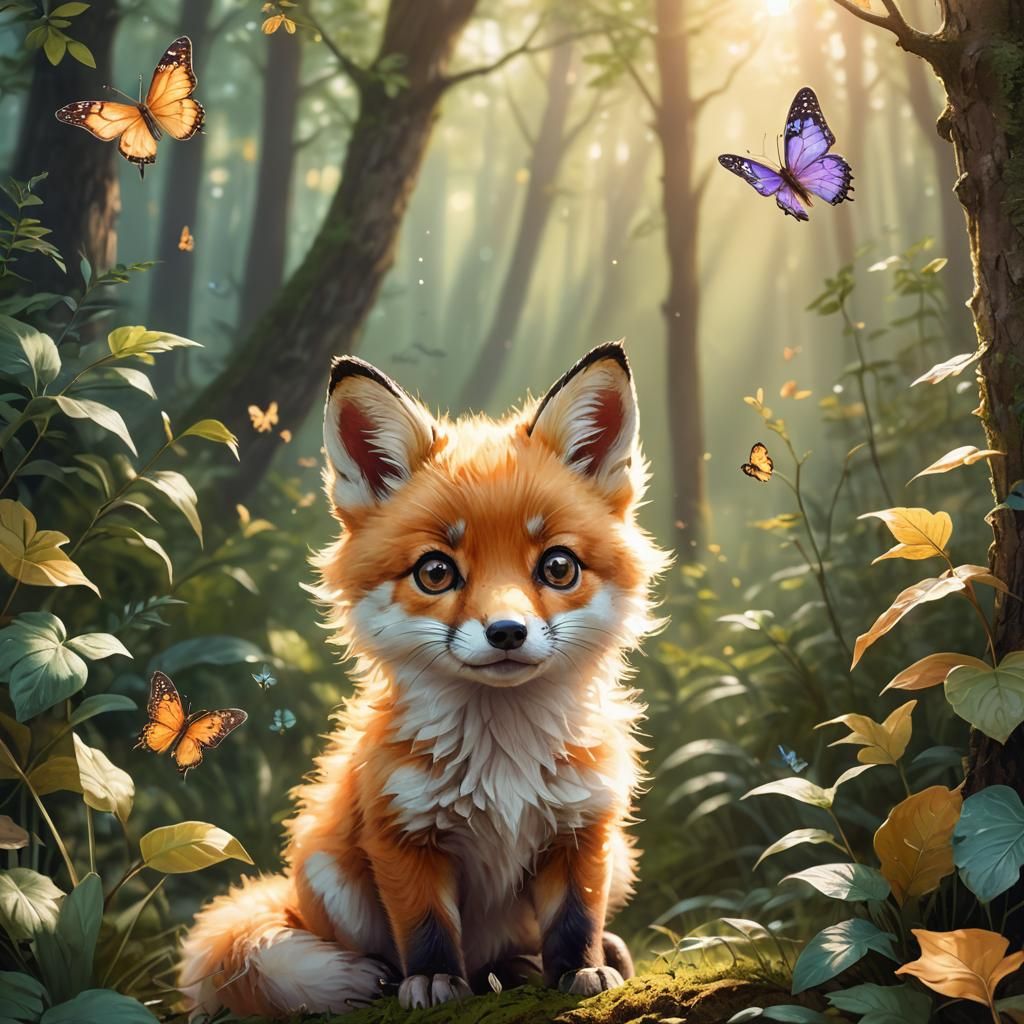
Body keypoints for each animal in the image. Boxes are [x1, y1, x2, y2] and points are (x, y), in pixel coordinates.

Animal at [177, 342, 668, 1018]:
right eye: (436, 572)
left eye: (558, 567)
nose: (508, 632)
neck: (503, 764)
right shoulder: (401, 833)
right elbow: (427, 926)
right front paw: (434, 981)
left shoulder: (582, 828)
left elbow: (575, 918)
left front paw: (579, 970)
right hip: (332, 877)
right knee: (405, 957)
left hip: (618, 857)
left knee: (509, 955)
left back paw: (546, 964)